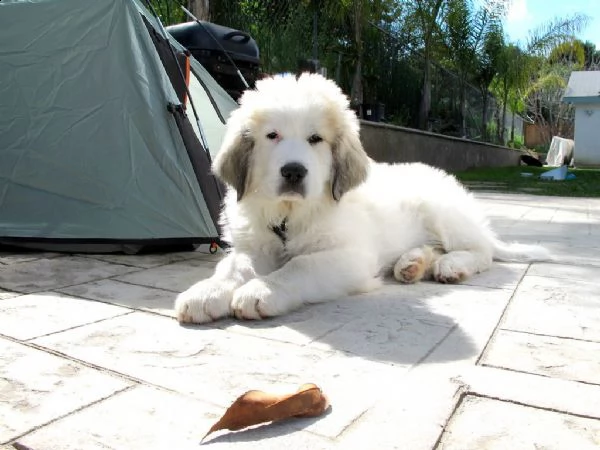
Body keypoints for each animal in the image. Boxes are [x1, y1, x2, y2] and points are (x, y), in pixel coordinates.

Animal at [173, 73, 548, 324]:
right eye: (272, 136)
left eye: (315, 139)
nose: (293, 172)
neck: (290, 215)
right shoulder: (255, 244)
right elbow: (233, 266)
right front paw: (207, 292)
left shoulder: (352, 257)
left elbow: (300, 265)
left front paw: (261, 290)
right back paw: (412, 263)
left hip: (445, 212)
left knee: (481, 251)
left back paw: (451, 265)